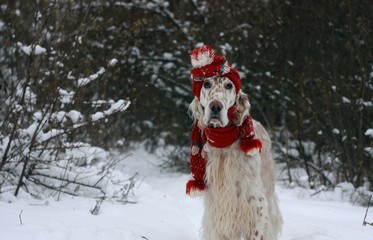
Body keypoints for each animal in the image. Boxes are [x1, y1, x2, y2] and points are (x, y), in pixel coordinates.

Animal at [186, 45, 282, 240]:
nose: (215, 107)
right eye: (206, 84)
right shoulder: (219, 212)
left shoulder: (256, 205)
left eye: (229, 85)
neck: (224, 145)